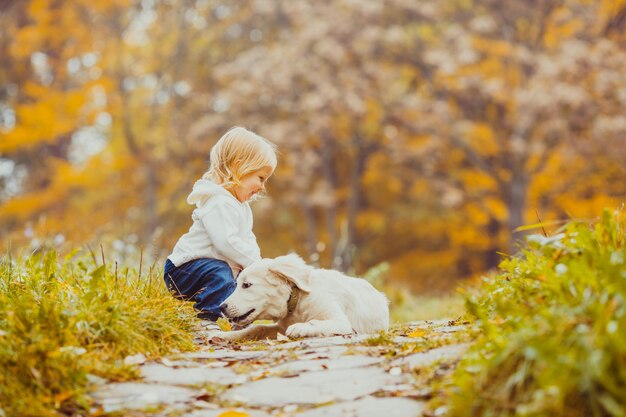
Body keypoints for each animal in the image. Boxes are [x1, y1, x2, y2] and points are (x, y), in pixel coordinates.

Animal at [217, 254, 388, 338]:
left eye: (246, 285)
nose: (221, 307)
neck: (298, 299)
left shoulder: (341, 322)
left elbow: (315, 322)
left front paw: (300, 327)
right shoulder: (280, 328)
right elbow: (258, 328)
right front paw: (227, 336)